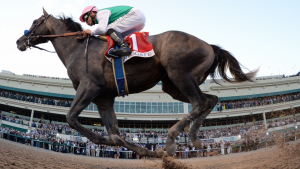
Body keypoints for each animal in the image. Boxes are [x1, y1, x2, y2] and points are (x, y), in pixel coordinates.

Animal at [15, 9, 258, 157]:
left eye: (35, 22)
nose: (19, 41)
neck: (78, 48)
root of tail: (209, 46)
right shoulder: (103, 98)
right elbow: (115, 135)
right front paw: (148, 152)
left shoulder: (89, 87)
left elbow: (72, 118)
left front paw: (99, 138)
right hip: (172, 85)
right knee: (210, 100)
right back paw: (194, 138)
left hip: (179, 74)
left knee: (199, 103)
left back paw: (171, 139)